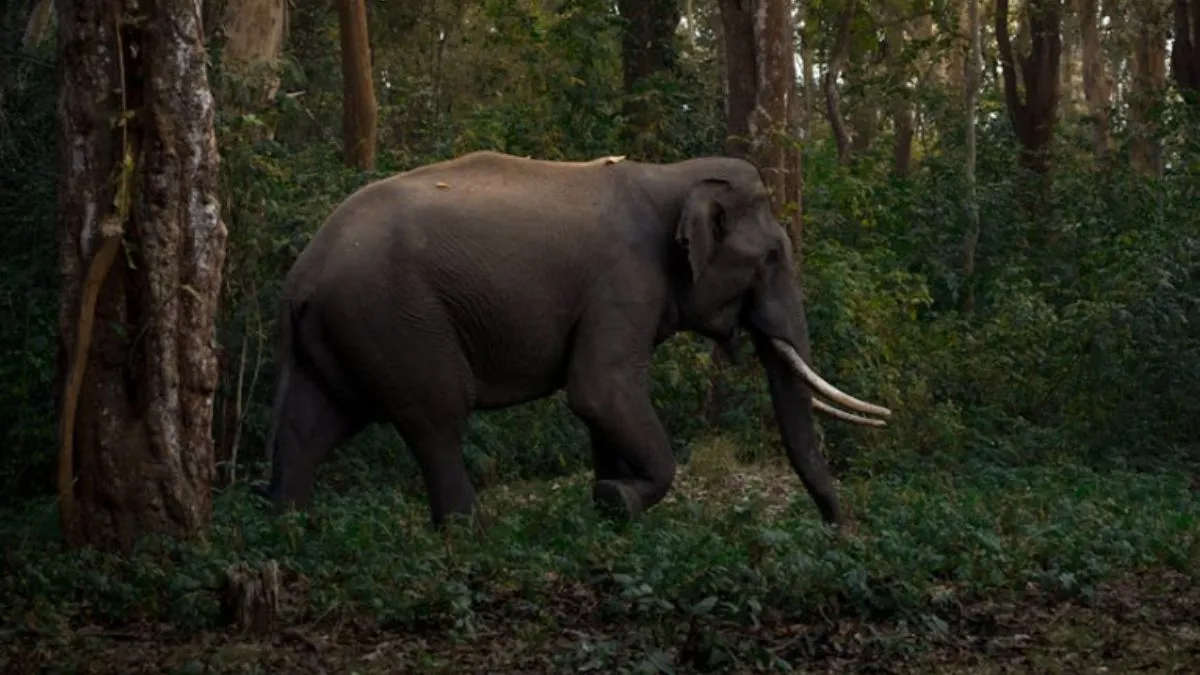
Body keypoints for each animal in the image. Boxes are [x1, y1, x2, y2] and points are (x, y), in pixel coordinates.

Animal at [260, 150, 891, 531]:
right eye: (772, 258)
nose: (839, 527)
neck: (671, 174)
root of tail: (300, 277)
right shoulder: (625, 279)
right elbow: (599, 390)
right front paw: (617, 498)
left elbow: (601, 407)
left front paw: (609, 507)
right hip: (396, 319)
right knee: (435, 418)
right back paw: (471, 535)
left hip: (340, 333)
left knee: (309, 427)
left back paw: (290, 531)